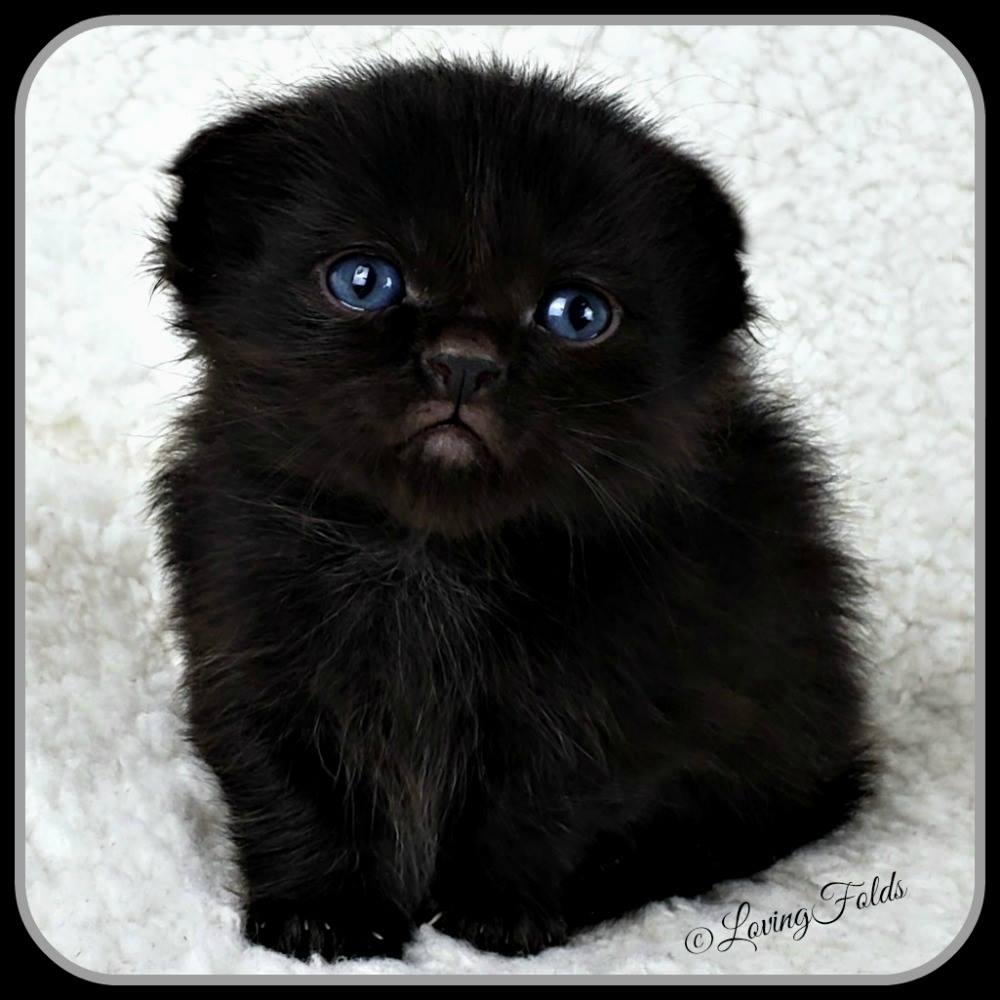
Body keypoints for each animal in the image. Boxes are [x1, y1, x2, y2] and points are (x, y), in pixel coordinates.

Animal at [150, 56, 876, 960]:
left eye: (577, 313)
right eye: (364, 281)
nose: (464, 361)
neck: (425, 551)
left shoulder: (608, 692)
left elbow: (543, 801)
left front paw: (495, 918)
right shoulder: (246, 647)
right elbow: (287, 785)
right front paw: (321, 918)